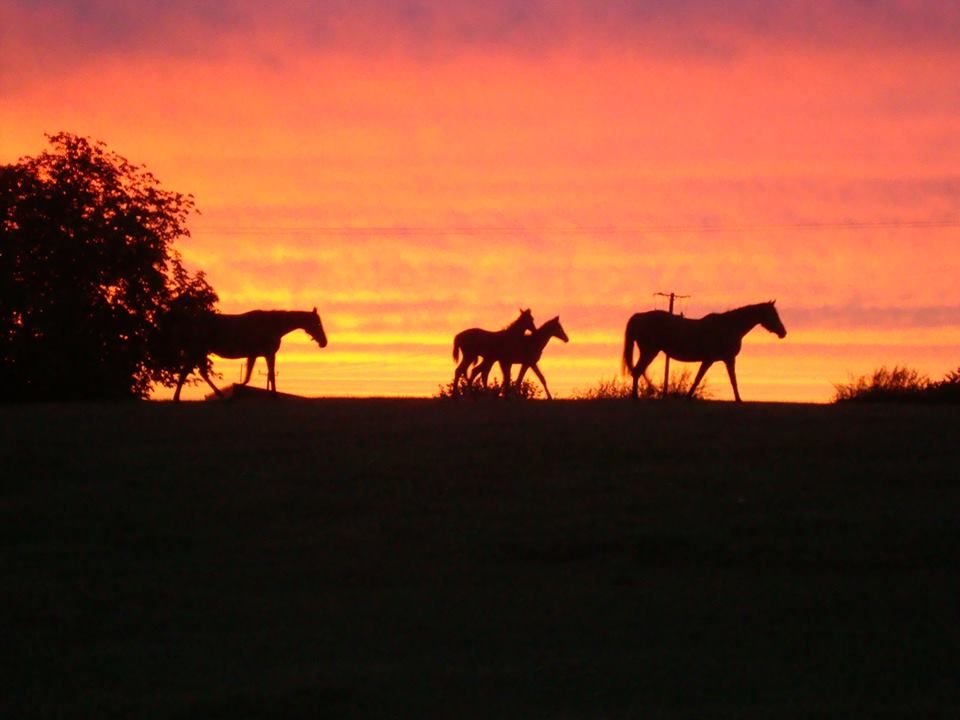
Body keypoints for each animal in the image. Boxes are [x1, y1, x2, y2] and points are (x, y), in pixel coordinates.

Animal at [173, 308, 328, 401]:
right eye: (318, 324)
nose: (324, 342)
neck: (273, 325)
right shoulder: (268, 354)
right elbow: (269, 374)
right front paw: (274, 396)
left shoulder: (254, 355)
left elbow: (250, 376)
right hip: (197, 350)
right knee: (188, 372)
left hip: (200, 352)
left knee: (197, 372)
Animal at [622, 301, 786, 402]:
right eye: (773, 314)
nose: (783, 333)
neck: (729, 326)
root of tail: (639, 316)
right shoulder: (720, 359)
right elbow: (718, 379)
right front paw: (739, 400)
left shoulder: (719, 360)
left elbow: (723, 379)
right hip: (650, 351)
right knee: (637, 371)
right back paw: (637, 396)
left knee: (638, 371)